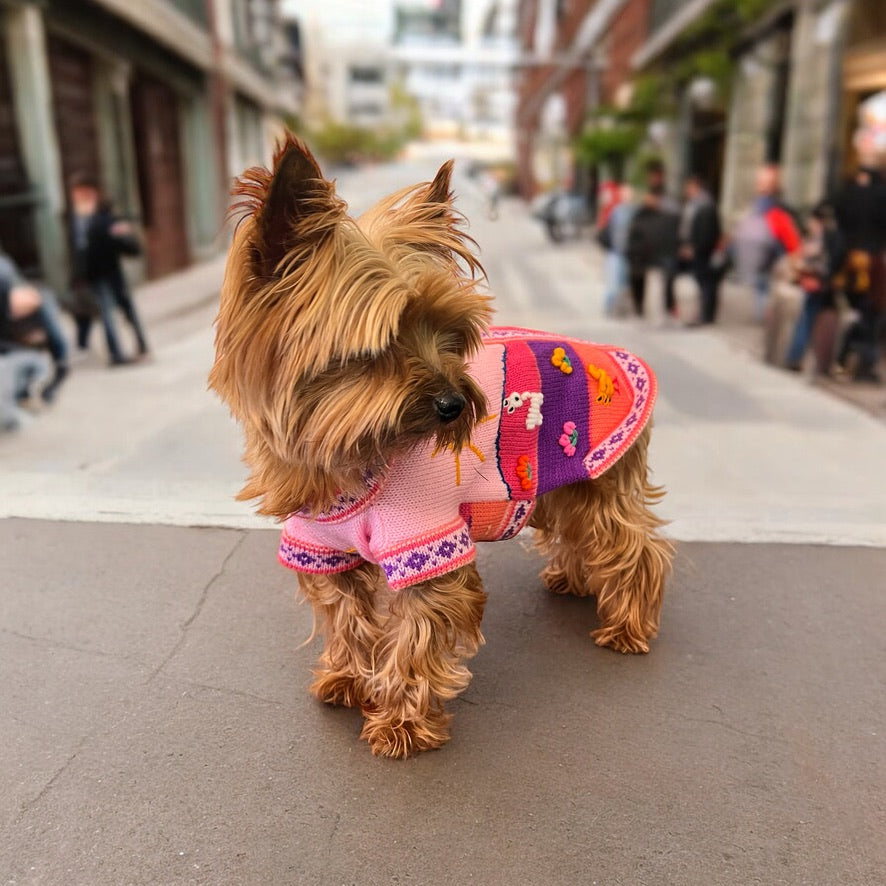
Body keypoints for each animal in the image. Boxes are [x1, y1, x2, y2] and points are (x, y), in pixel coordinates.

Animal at [213, 135, 672, 760]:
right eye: (380, 346)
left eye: (451, 334)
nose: (456, 404)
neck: (348, 459)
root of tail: (622, 355)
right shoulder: (322, 547)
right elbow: (347, 613)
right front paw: (349, 680)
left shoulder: (427, 540)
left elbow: (416, 633)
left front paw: (401, 724)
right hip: (565, 480)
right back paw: (574, 580)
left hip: (601, 474)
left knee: (635, 545)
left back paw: (627, 626)